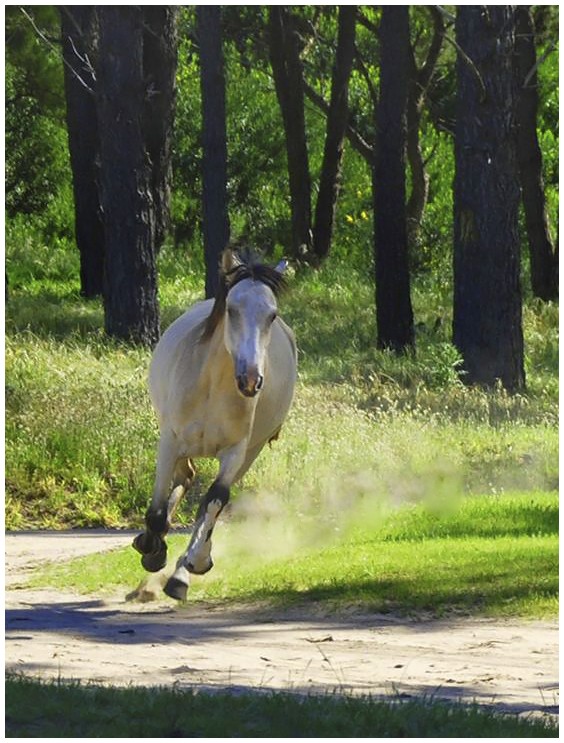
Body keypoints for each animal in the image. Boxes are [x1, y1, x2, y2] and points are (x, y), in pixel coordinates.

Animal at [134, 247, 298, 600]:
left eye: (272, 315)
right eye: (232, 309)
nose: (250, 380)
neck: (211, 387)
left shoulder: (236, 451)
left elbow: (214, 502)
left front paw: (189, 568)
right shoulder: (170, 440)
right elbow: (156, 512)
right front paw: (152, 550)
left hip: (251, 451)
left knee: (205, 497)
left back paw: (186, 568)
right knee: (185, 477)